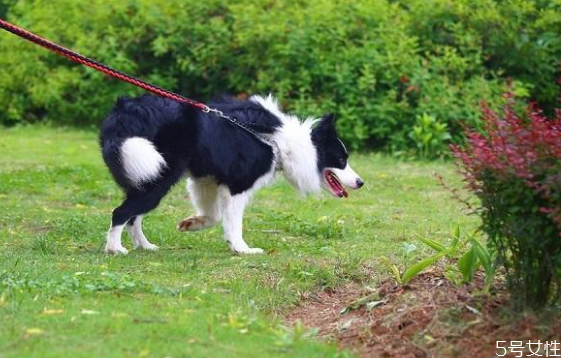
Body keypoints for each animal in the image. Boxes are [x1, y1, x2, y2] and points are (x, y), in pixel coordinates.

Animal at [100, 93, 364, 253]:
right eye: (342, 160)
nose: (361, 182)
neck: (284, 143)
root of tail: (128, 111)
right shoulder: (237, 185)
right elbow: (234, 222)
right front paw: (242, 249)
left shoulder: (206, 181)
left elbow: (214, 216)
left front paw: (192, 223)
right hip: (157, 173)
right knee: (121, 212)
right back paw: (114, 248)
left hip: (143, 172)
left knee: (134, 215)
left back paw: (144, 246)